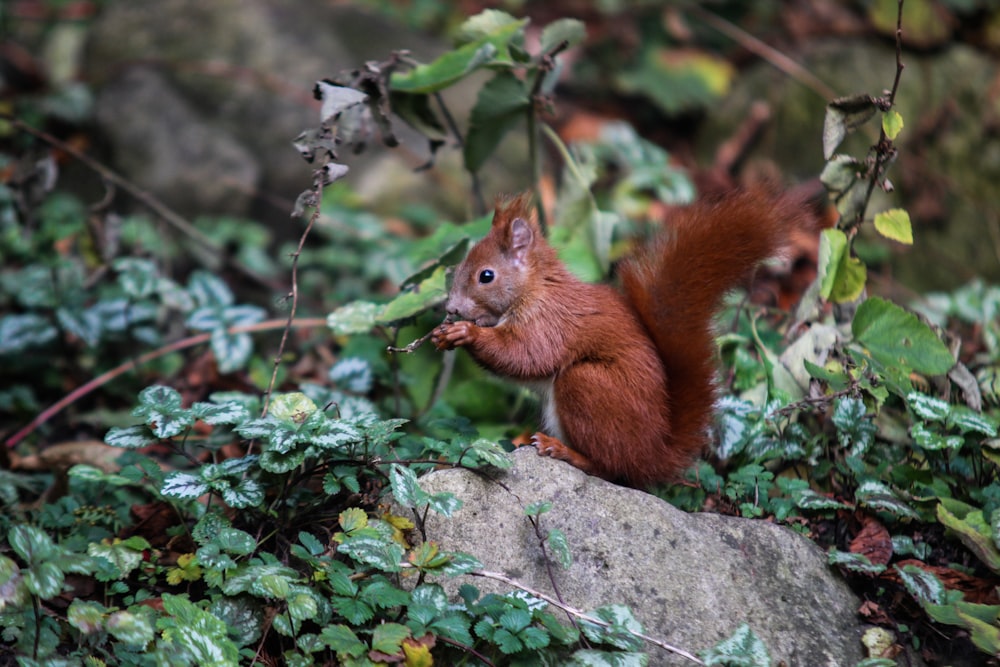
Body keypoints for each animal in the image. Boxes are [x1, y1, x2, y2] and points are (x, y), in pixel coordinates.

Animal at [432, 185, 812, 488]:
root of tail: (653, 454)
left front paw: (466, 333)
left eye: (486, 276)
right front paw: (444, 334)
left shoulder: (550, 322)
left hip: (587, 387)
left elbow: (526, 355)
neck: (535, 288)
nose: (451, 307)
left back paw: (564, 451)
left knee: (609, 469)